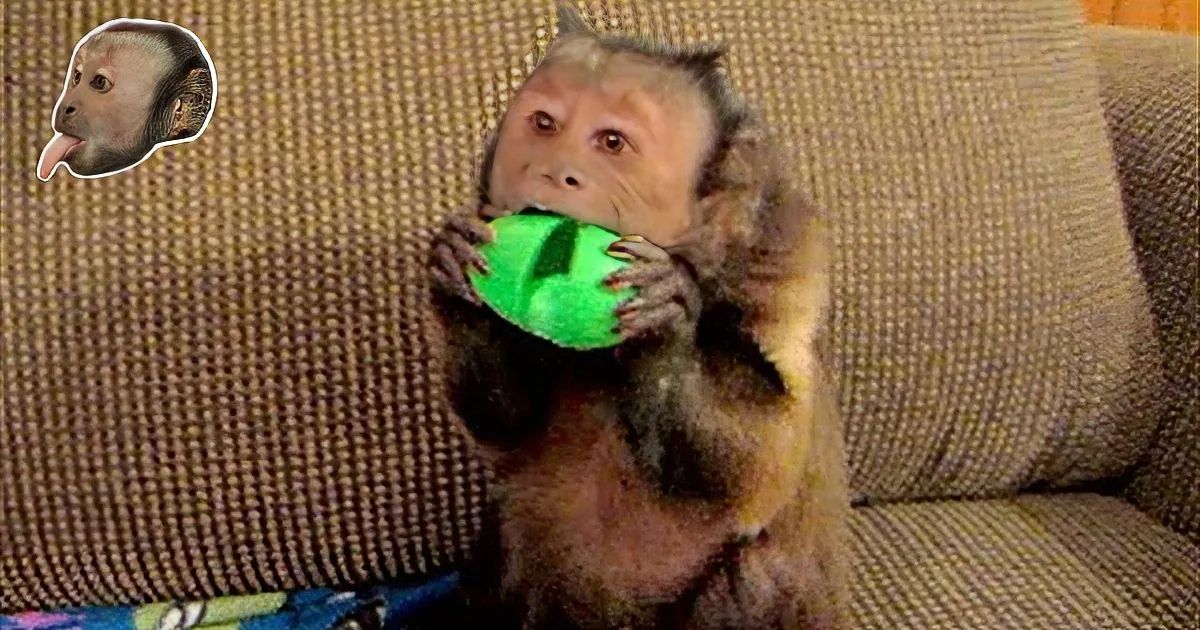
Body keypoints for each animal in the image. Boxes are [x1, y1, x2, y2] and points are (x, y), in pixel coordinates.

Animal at [427, 5, 848, 628]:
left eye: (611, 142)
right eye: (545, 124)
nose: (557, 172)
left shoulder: (779, 276)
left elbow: (755, 473)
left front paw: (662, 329)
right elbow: (507, 423)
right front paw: (460, 282)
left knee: (753, 572)